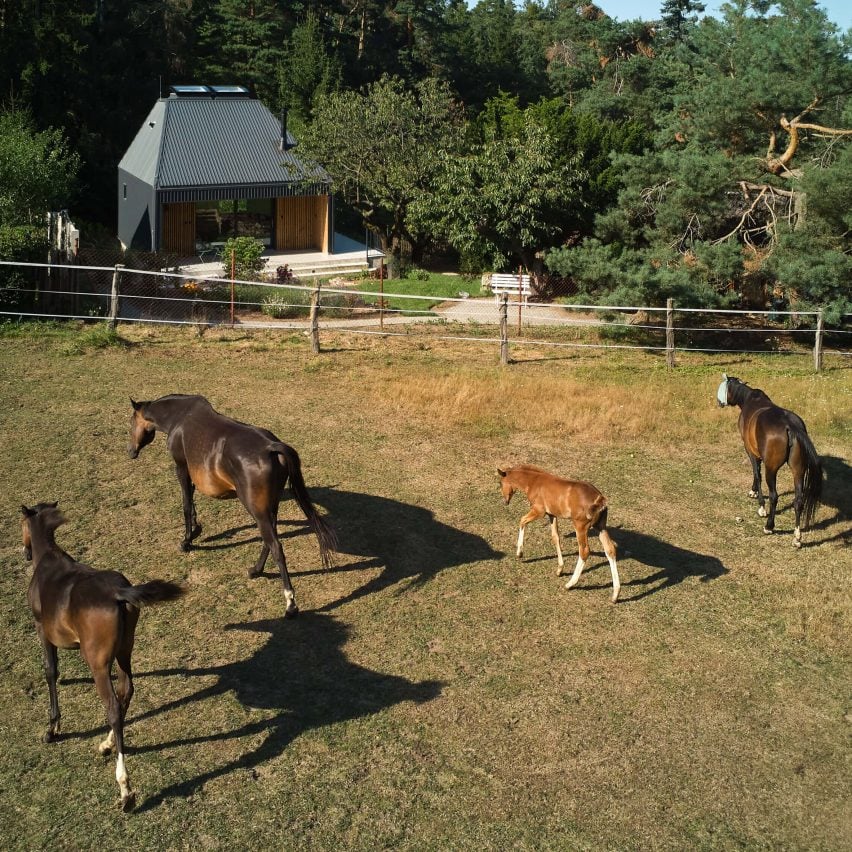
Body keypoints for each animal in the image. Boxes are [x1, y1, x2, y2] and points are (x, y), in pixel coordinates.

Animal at [21, 502, 185, 808]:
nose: (24, 551)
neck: (48, 561)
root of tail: (118, 593)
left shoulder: (42, 631)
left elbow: (50, 671)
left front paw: (52, 729)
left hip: (98, 665)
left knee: (112, 706)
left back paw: (125, 789)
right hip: (124, 652)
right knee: (125, 691)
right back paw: (108, 743)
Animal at [128, 396, 338, 616]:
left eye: (131, 423)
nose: (130, 451)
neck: (179, 416)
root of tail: (271, 447)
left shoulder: (182, 468)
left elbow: (185, 503)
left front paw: (186, 541)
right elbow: (192, 503)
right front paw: (196, 529)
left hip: (257, 510)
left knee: (275, 546)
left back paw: (290, 603)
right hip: (269, 508)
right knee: (269, 540)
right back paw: (256, 570)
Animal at [496, 470, 624, 604]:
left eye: (500, 483)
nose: (505, 501)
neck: (534, 481)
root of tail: (600, 499)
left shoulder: (539, 511)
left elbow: (522, 521)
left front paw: (519, 553)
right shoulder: (551, 514)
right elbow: (555, 537)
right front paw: (559, 569)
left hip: (580, 527)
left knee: (584, 551)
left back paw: (570, 584)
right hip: (600, 527)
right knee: (610, 550)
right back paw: (615, 595)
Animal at [716, 372, 824, 544]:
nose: (719, 402)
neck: (749, 399)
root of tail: (790, 426)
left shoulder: (751, 452)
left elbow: (757, 474)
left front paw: (760, 504)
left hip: (772, 469)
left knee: (774, 496)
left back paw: (769, 526)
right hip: (798, 470)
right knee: (798, 501)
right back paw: (797, 537)